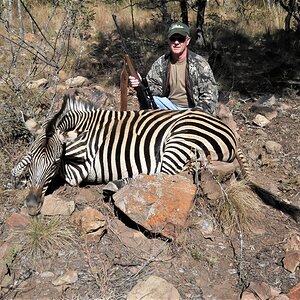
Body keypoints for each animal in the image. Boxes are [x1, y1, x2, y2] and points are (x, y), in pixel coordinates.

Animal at [12, 95, 300, 221]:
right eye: (35, 160)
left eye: (54, 163)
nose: (31, 206)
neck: (84, 131)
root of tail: (230, 131)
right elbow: (19, 166)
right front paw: (17, 175)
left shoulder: (84, 169)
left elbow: (65, 175)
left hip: (181, 138)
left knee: (167, 175)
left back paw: (115, 185)